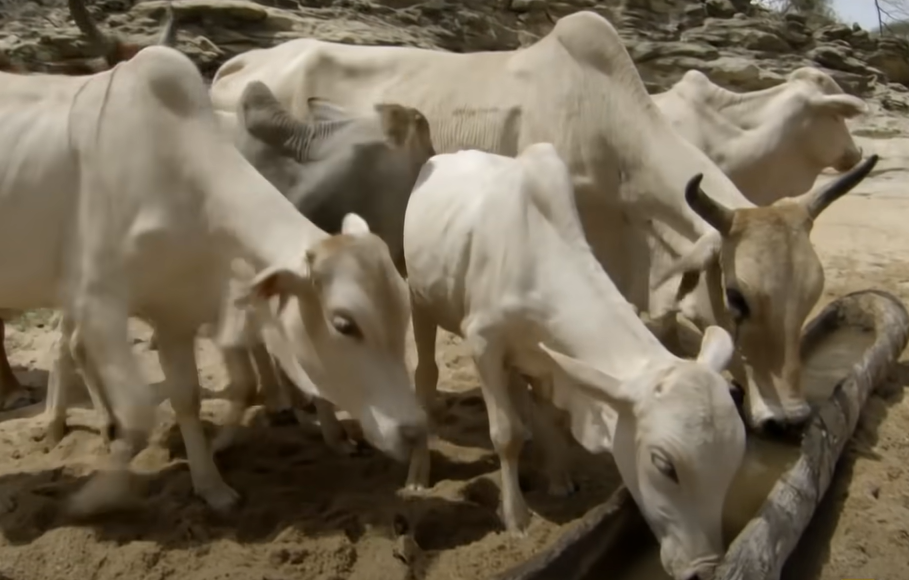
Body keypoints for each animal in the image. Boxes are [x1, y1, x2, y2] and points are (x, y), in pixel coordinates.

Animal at [0, 45, 425, 516]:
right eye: (345, 324)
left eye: (403, 316)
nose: (415, 432)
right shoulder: (99, 303)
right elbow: (141, 412)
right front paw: (98, 494)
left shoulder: (177, 315)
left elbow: (191, 397)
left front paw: (211, 485)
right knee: (67, 348)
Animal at [404, 141, 745, 580]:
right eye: (664, 464)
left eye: (734, 458)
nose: (705, 568)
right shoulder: (483, 343)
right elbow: (505, 434)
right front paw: (517, 518)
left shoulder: (549, 361)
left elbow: (549, 417)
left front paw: (559, 480)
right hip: (420, 300)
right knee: (426, 376)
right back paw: (417, 475)